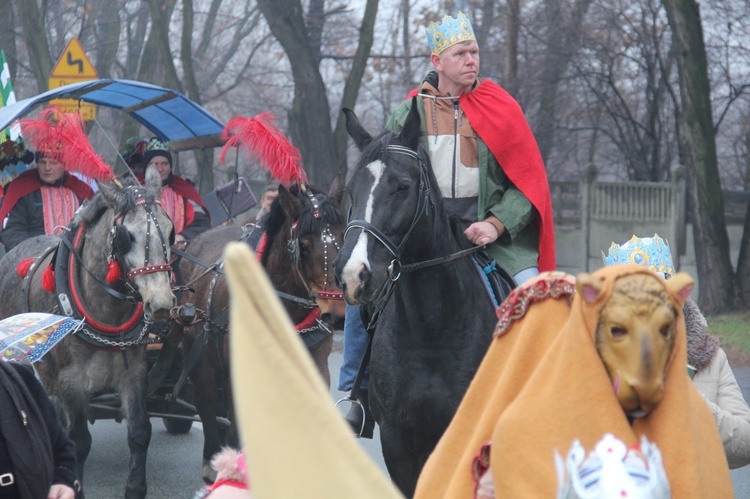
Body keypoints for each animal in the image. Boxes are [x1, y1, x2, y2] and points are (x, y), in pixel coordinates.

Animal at [0, 169, 176, 499]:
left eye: (171, 231)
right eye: (126, 236)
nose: (160, 304)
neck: (106, 315)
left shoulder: (134, 373)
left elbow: (139, 431)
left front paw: (135, 488)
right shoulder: (71, 381)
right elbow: (78, 442)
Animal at [172, 179, 346, 480]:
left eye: (343, 235)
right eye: (304, 244)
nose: (337, 314)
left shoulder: (317, 370)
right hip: (200, 362)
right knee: (208, 407)